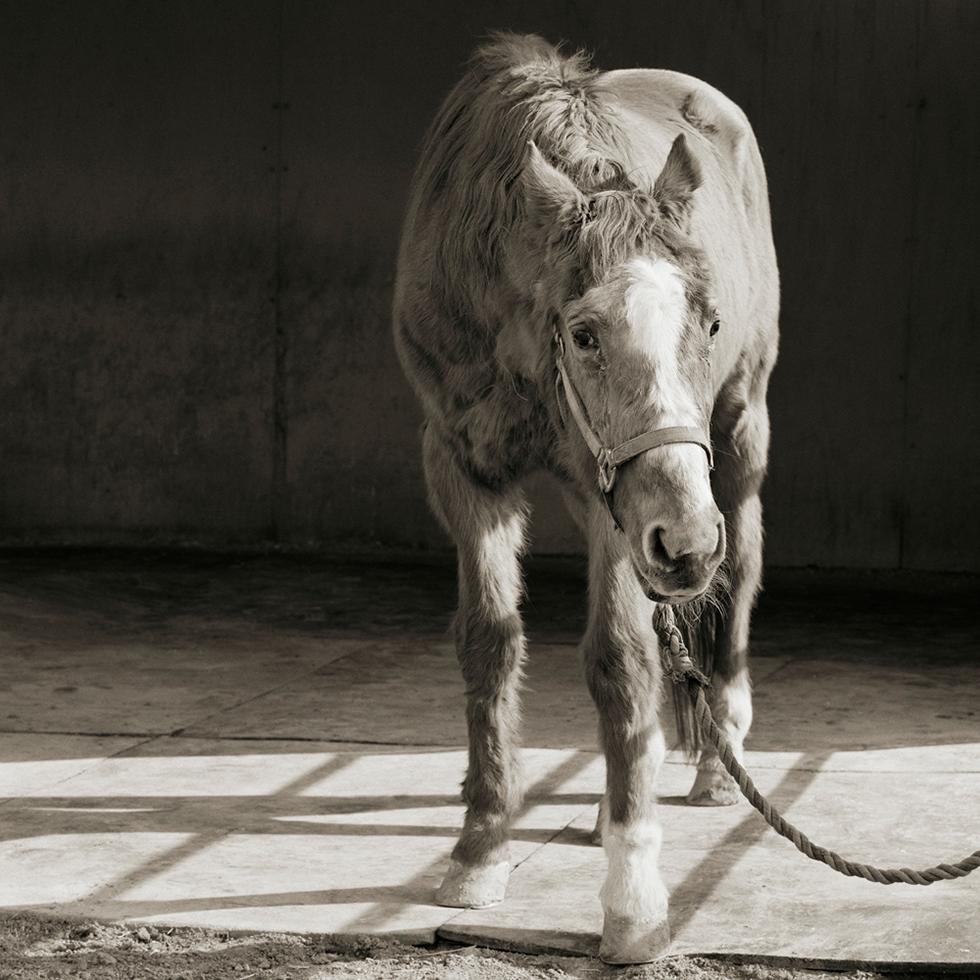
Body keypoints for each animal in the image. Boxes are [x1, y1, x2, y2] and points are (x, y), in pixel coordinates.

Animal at [390, 32, 780, 964]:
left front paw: (634, 902)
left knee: (741, 574)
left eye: (710, 322)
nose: (688, 543)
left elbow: (620, 661)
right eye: (585, 332)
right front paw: (480, 848)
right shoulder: (462, 467)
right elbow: (489, 644)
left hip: (734, 440)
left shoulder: (626, 507)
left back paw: (715, 762)